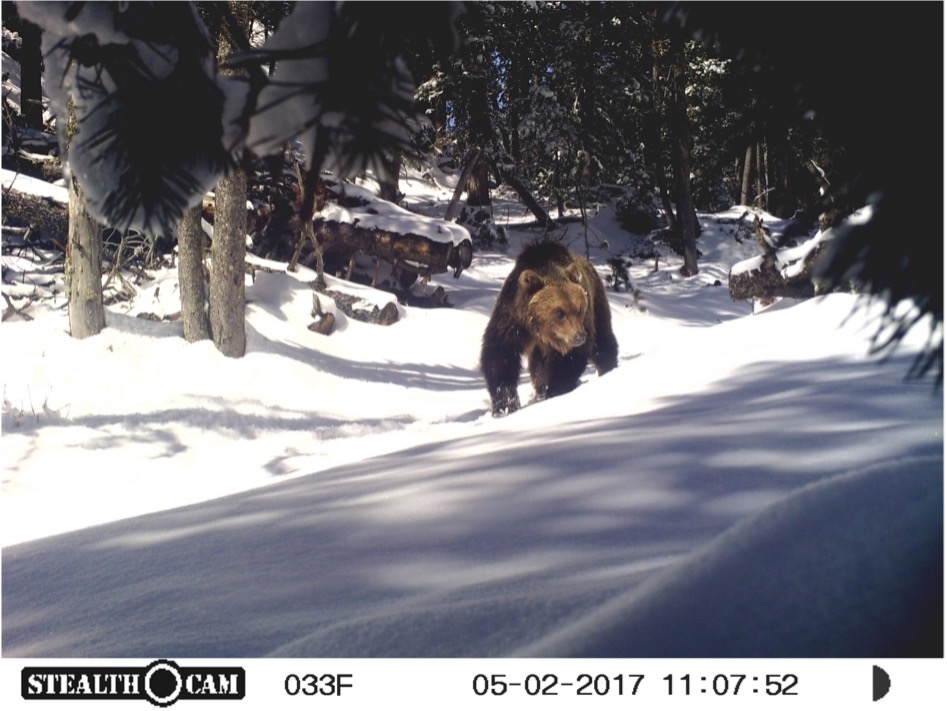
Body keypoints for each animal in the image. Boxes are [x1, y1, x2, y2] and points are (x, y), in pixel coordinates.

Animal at [480, 241, 619, 416]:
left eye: (579, 309)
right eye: (559, 312)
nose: (579, 336)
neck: (538, 328)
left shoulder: (581, 324)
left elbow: (568, 360)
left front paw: (555, 390)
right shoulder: (513, 319)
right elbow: (500, 355)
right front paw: (505, 405)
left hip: (597, 303)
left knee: (603, 339)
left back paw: (608, 367)